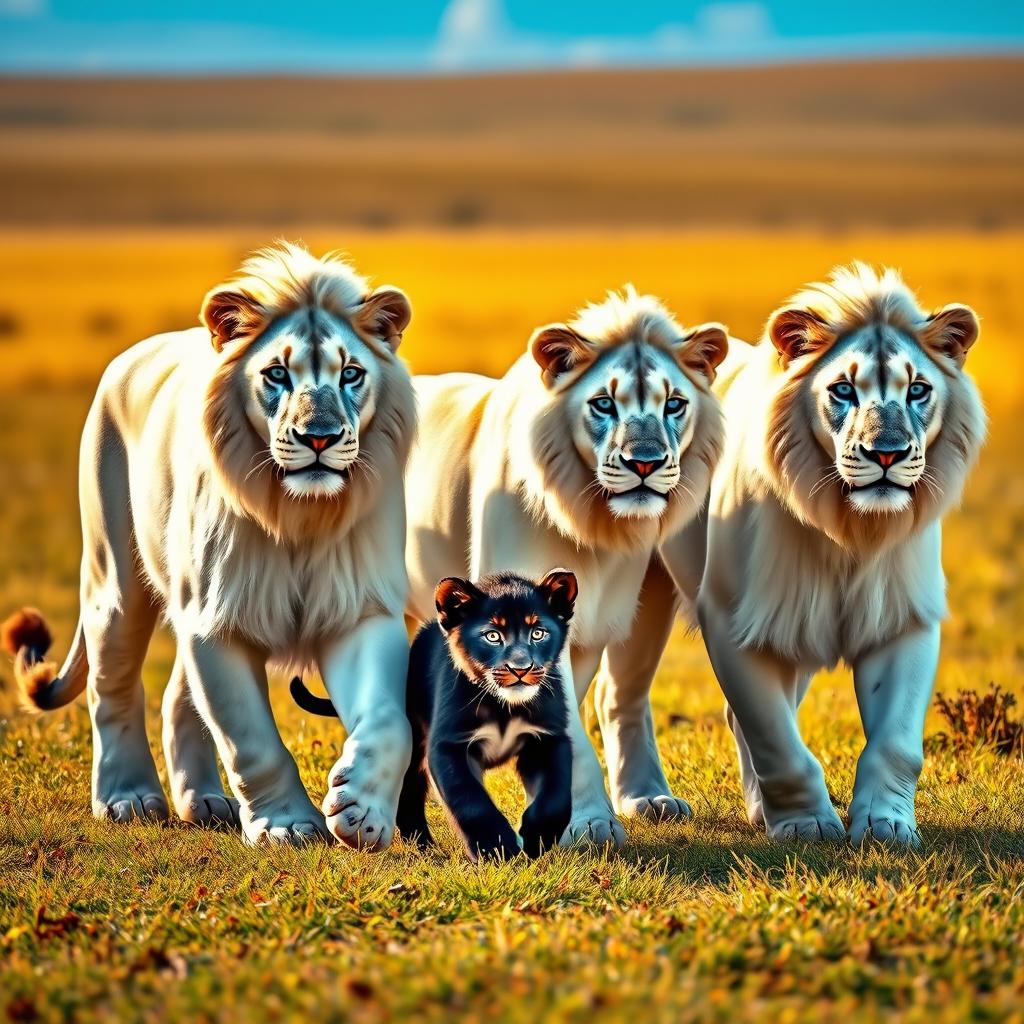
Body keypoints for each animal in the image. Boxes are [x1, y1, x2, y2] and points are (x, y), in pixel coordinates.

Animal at [1, 242, 417, 849]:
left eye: (352, 374)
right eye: (276, 373)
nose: (319, 437)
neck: (299, 516)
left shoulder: (358, 607)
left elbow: (390, 719)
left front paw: (362, 810)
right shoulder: (216, 618)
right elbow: (252, 740)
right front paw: (288, 826)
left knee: (178, 694)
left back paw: (205, 801)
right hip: (114, 580)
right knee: (112, 685)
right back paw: (127, 799)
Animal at [404, 286, 729, 845]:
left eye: (674, 404)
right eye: (603, 403)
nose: (645, 463)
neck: (593, 523)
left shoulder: (587, 621)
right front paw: (592, 823)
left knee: (620, 696)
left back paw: (648, 798)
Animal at [611, 263, 986, 845]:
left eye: (919, 390)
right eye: (843, 390)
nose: (886, 453)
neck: (851, 529)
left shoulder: (903, 618)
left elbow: (895, 744)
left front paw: (886, 824)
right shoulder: (733, 617)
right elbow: (776, 738)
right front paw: (806, 824)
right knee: (620, 696)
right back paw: (646, 799)